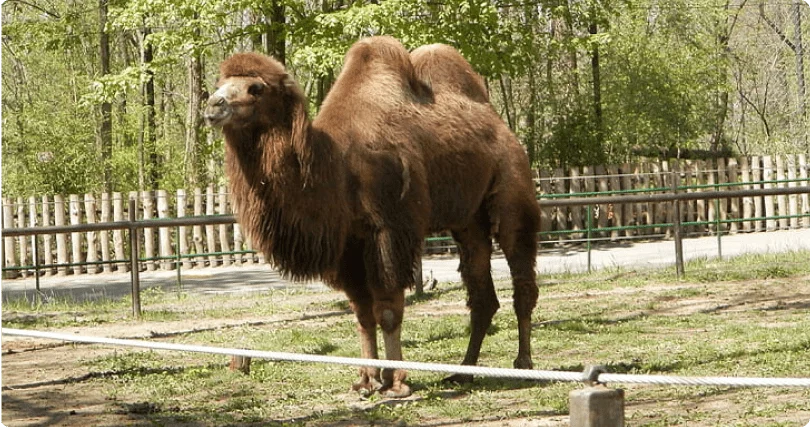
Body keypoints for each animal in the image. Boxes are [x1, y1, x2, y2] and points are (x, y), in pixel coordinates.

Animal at [204, 36, 540, 398]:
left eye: (255, 88)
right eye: (220, 82)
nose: (213, 106)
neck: (337, 167)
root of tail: (500, 124)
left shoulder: (389, 230)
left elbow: (388, 308)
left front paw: (398, 383)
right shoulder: (348, 246)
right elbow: (362, 313)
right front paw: (367, 380)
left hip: (511, 185)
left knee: (520, 271)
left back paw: (523, 364)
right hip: (468, 221)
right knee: (481, 294)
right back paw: (463, 372)